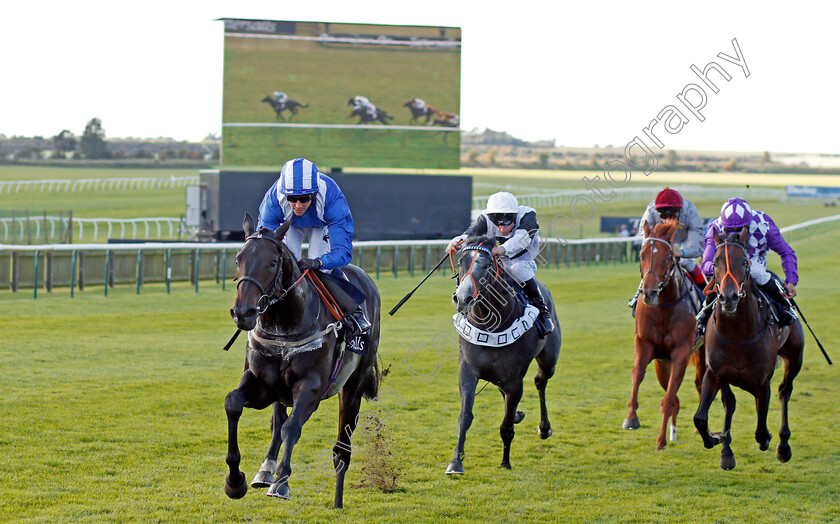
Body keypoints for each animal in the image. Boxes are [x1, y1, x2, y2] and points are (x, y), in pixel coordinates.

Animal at [225, 213, 378, 508]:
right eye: (238, 259)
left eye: (272, 263)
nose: (243, 313)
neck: (284, 325)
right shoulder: (262, 384)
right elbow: (234, 403)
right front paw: (235, 481)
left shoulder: (311, 387)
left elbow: (292, 427)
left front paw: (281, 483)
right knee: (277, 422)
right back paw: (265, 470)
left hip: (354, 384)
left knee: (342, 447)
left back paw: (337, 500)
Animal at [446, 237, 556, 474]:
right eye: (460, 261)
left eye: (487, 264)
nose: (463, 298)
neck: (492, 326)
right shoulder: (468, 369)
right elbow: (465, 417)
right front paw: (456, 462)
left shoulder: (514, 380)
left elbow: (506, 426)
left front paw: (505, 461)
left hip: (549, 360)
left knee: (540, 381)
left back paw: (544, 428)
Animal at [620, 221, 704, 450]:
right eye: (642, 254)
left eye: (667, 257)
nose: (649, 293)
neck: (664, 307)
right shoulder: (644, 344)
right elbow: (637, 374)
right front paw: (631, 418)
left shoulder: (681, 352)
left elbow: (669, 396)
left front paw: (660, 440)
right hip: (661, 363)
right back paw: (673, 431)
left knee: (700, 383)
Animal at [692, 227, 804, 468]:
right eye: (715, 263)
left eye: (744, 262)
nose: (728, 297)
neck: (738, 335)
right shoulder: (715, 373)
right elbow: (701, 418)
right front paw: (717, 439)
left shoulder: (762, 383)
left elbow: (761, 431)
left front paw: (770, 440)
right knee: (730, 403)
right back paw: (726, 452)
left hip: (795, 356)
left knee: (785, 391)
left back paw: (783, 446)